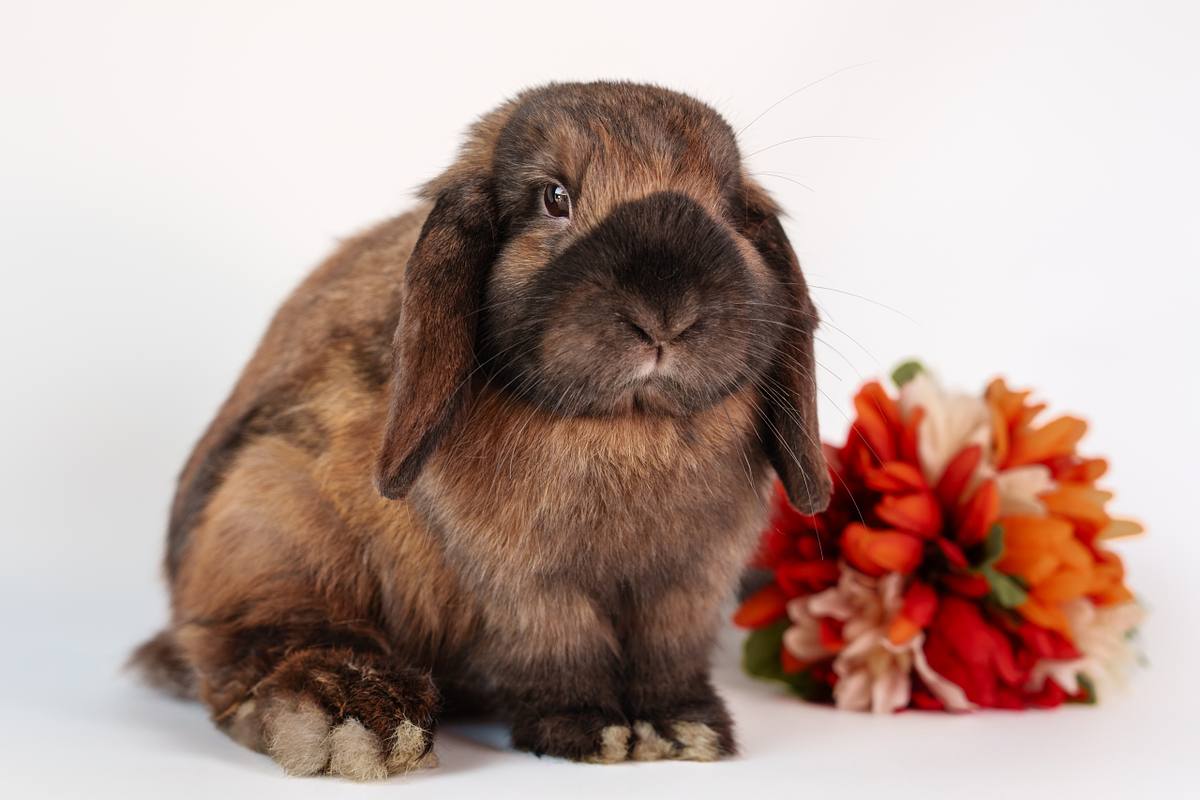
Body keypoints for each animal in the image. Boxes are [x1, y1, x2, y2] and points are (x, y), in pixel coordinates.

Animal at [130, 81, 831, 780]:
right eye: (554, 197)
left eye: (726, 210)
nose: (665, 315)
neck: (628, 424)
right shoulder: (526, 580)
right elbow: (561, 647)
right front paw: (590, 731)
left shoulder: (688, 581)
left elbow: (668, 656)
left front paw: (683, 728)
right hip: (267, 518)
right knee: (257, 650)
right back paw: (360, 717)